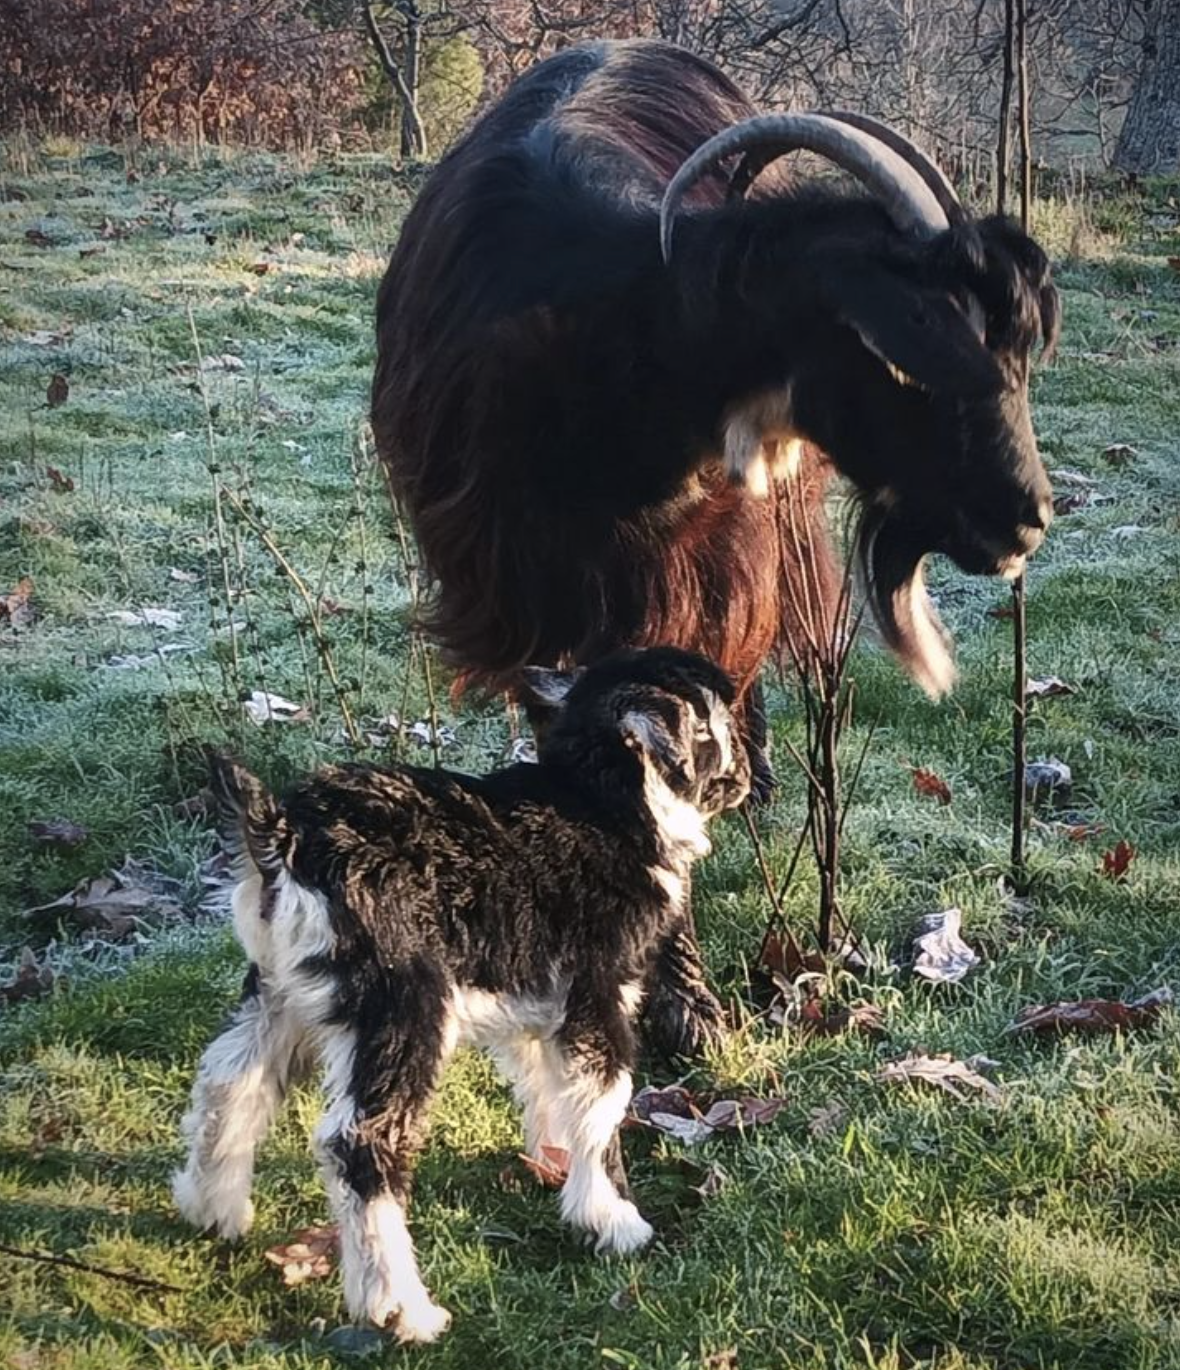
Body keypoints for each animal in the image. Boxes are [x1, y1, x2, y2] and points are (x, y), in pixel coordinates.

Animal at [370, 40, 1058, 1046]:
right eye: (908, 354)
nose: (1027, 519)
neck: (616, 359)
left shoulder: (703, 572)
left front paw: (685, 1000)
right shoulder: (527, 593)